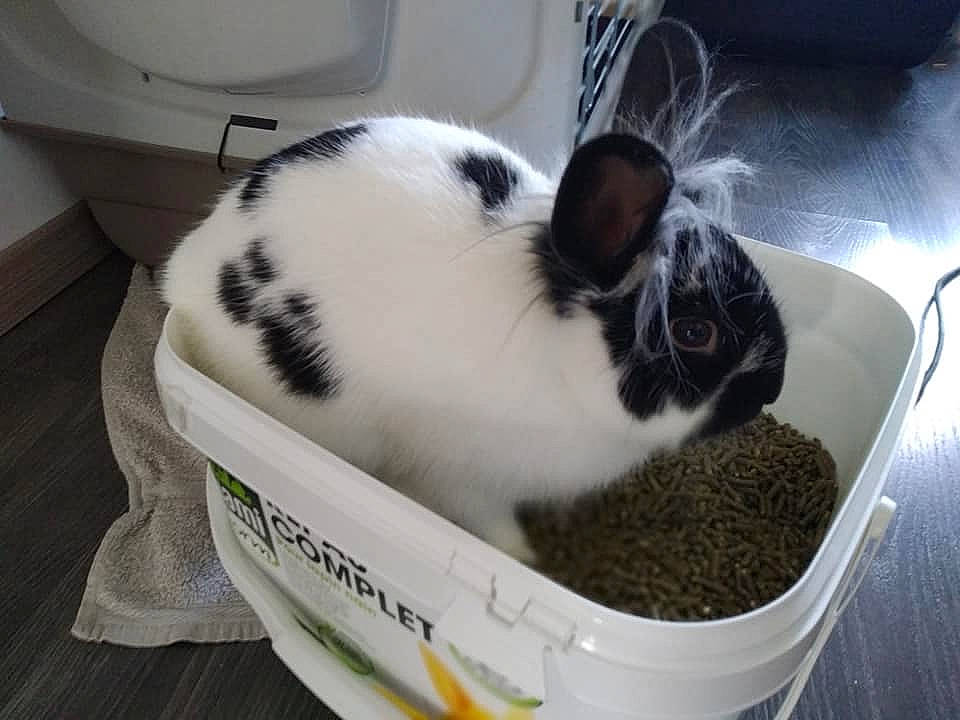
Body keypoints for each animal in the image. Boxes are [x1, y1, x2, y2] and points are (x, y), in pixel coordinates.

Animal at [161, 28, 786, 565]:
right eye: (694, 332)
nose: (769, 393)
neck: (562, 361)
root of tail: (184, 273)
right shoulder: (466, 480)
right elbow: (493, 525)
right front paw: (529, 559)